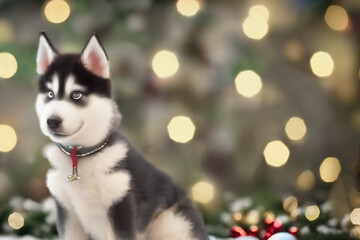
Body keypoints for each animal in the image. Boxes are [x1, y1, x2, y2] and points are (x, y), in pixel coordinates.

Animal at [35, 32, 208, 240]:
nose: (52, 121)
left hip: (171, 221)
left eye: (76, 95)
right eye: (50, 94)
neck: (81, 156)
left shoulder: (120, 204)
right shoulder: (67, 210)